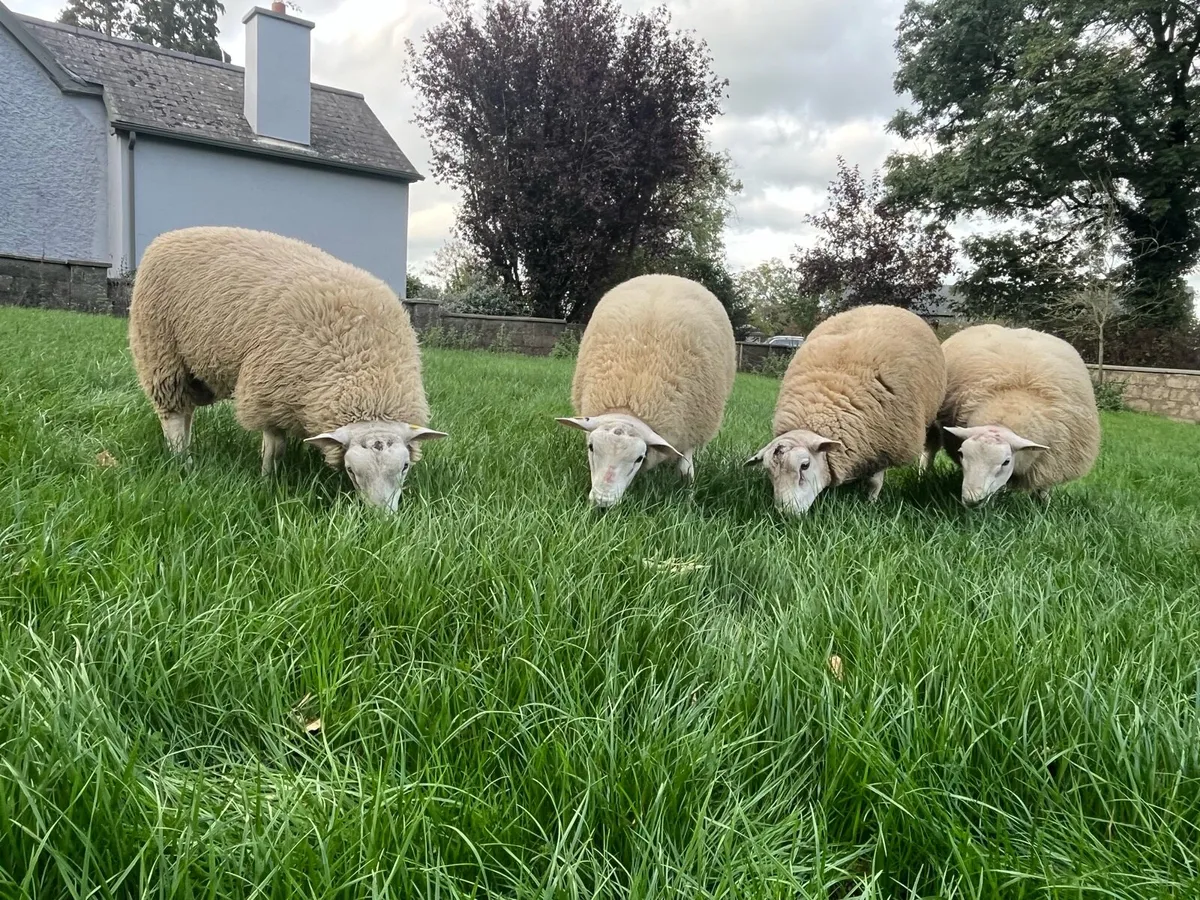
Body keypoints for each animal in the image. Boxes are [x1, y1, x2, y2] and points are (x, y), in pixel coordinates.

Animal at [128, 225, 447, 512]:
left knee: (187, 413)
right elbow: (274, 448)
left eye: (405, 467)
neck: (364, 367)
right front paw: (268, 480)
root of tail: (169, 237)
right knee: (173, 416)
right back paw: (182, 460)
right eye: (351, 471)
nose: (383, 521)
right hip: (160, 350)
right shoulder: (268, 394)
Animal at [555, 273, 736, 507]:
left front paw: (687, 487)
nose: (603, 503)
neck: (628, 406)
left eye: (639, 458)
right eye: (591, 447)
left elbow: (686, 464)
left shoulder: (692, 427)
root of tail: (667, 276)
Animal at [745, 304, 946, 514]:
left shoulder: (884, 444)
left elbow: (875, 481)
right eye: (769, 471)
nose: (787, 513)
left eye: (805, 465)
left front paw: (871, 503)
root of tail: (880, 305)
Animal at [935, 323, 1100, 506]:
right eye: (961, 454)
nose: (972, 501)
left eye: (1006, 462)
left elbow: (1044, 488)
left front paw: (1044, 506)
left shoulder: (1051, 462)